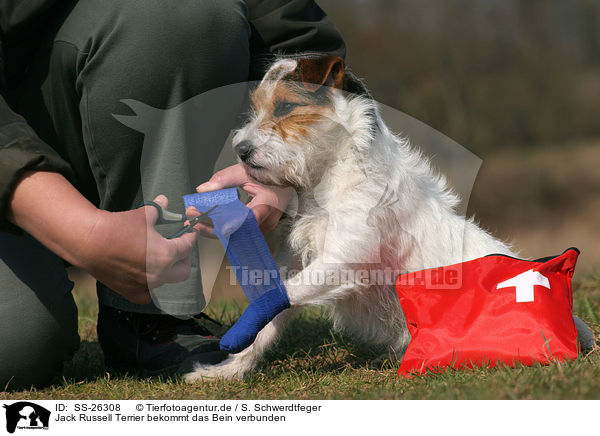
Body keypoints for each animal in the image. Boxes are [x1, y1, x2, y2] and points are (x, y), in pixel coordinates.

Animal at [184, 54, 596, 382]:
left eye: (285, 107)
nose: (241, 151)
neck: (331, 177)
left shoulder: (342, 262)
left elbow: (275, 298)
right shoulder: (300, 264)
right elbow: (270, 320)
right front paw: (226, 372)